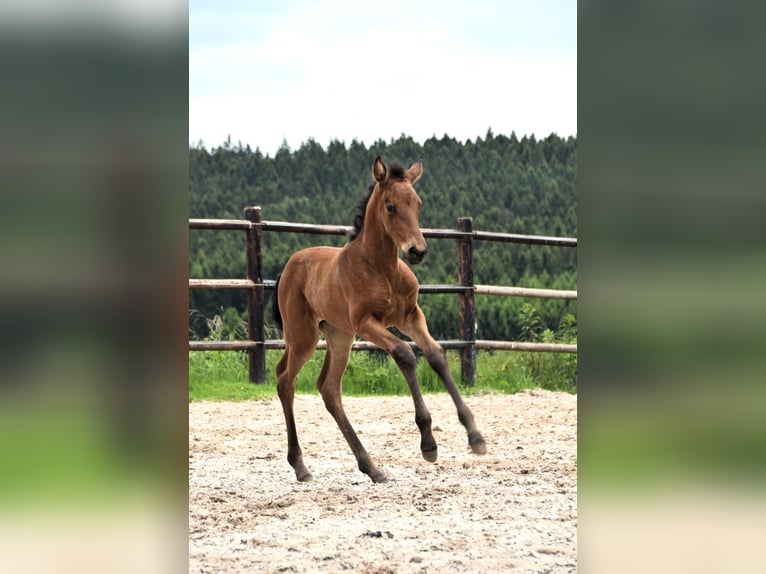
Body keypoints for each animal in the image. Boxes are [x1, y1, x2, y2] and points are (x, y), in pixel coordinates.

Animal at [274, 155, 486, 484]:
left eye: (418, 203)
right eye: (390, 206)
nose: (417, 251)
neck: (383, 268)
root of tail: (291, 265)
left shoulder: (411, 316)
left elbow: (436, 354)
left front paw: (475, 436)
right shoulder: (367, 323)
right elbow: (405, 354)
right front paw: (428, 444)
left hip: (339, 335)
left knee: (329, 388)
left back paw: (372, 468)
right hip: (304, 336)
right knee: (286, 379)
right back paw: (301, 466)